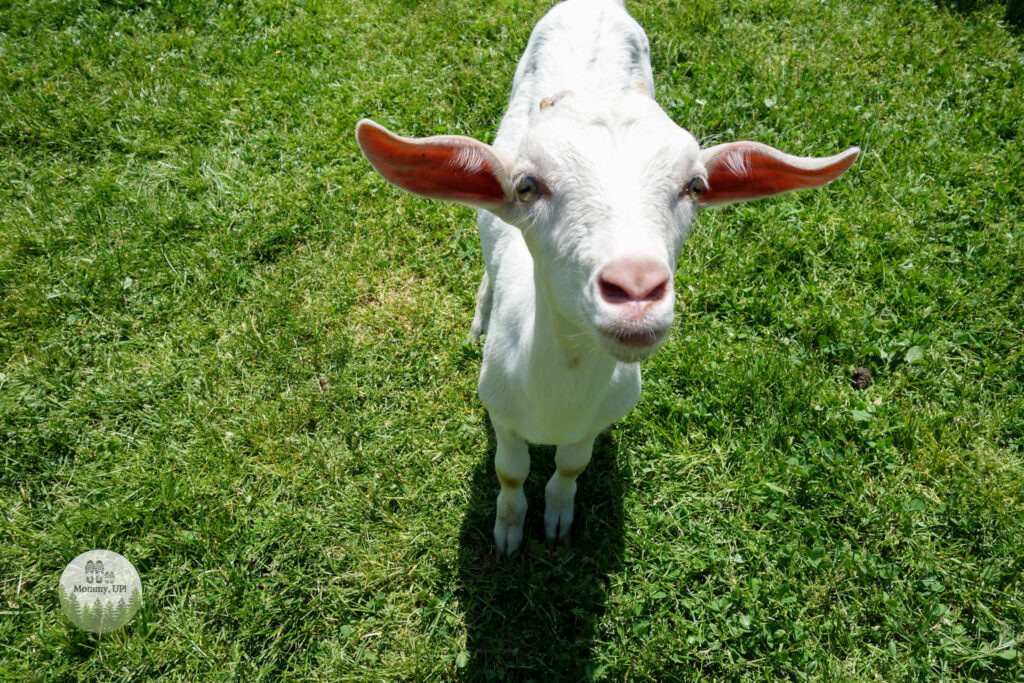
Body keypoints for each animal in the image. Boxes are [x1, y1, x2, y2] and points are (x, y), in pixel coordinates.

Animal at [356, 0, 860, 557]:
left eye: (695, 186)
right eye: (527, 186)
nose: (636, 289)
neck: (558, 405)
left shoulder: (598, 422)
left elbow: (571, 466)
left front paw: (558, 521)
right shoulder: (500, 411)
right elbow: (511, 472)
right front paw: (508, 533)